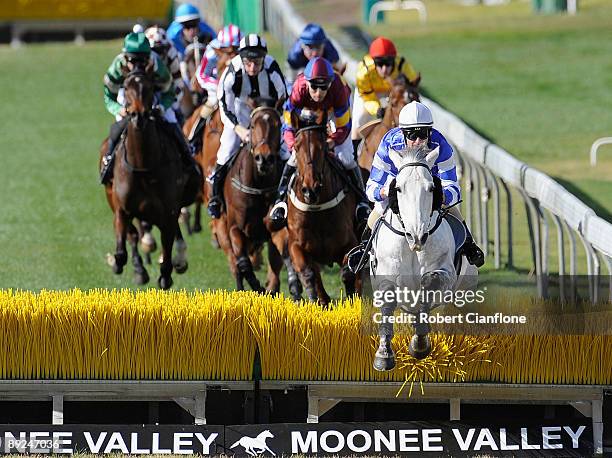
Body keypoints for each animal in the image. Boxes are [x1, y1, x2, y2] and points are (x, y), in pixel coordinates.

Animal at [98, 67, 191, 290]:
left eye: (149, 86)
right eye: (126, 86)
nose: (137, 115)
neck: (143, 165)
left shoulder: (169, 211)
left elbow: (167, 249)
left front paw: (168, 268)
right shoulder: (122, 208)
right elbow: (122, 250)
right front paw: (120, 262)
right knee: (132, 235)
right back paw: (139, 268)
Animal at [284, 110, 360, 304]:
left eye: (323, 147)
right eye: (296, 147)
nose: (311, 189)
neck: (317, 211)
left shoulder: (350, 243)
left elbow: (349, 273)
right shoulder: (296, 245)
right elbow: (309, 275)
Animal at [368, 145, 478, 370]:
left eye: (431, 188)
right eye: (398, 188)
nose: (417, 236)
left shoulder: (445, 272)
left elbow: (429, 284)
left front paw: (420, 345)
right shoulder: (386, 275)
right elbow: (388, 300)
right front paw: (384, 355)